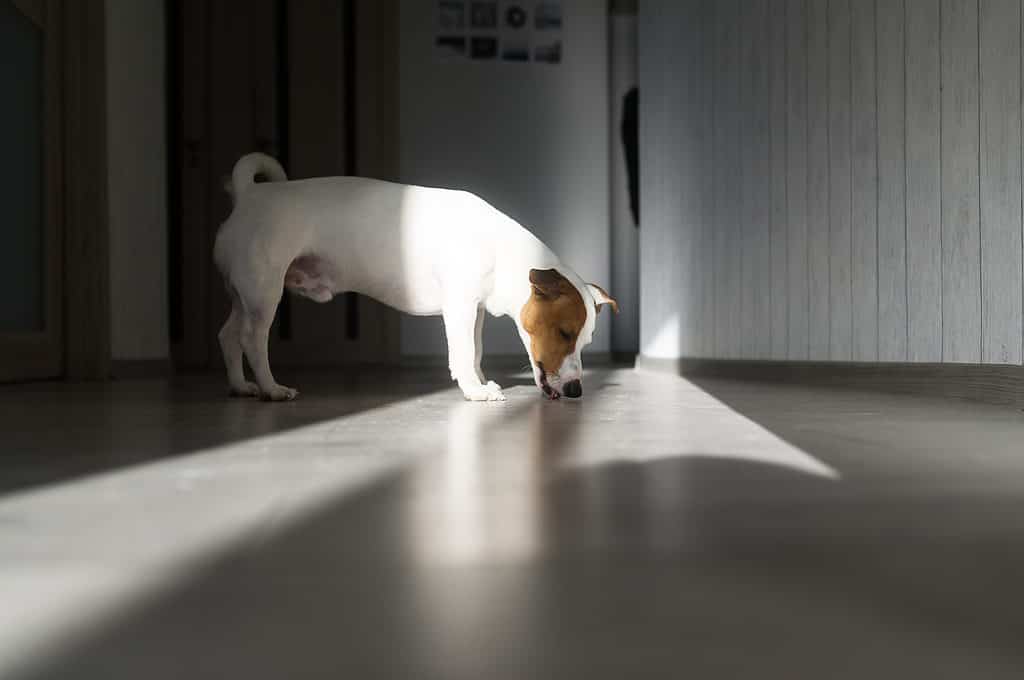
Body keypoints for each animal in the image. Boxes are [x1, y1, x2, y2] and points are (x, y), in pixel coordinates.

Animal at [211, 151, 614, 401]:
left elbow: (476, 350)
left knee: (228, 335)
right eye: (563, 333)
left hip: (244, 295)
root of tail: (249, 196)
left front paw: (480, 380)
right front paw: (475, 390)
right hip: (264, 294)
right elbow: (463, 351)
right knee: (252, 340)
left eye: (586, 342)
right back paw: (270, 388)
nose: (577, 390)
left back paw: (240, 386)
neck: (502, 251)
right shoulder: (460, 308)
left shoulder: (475, 312)